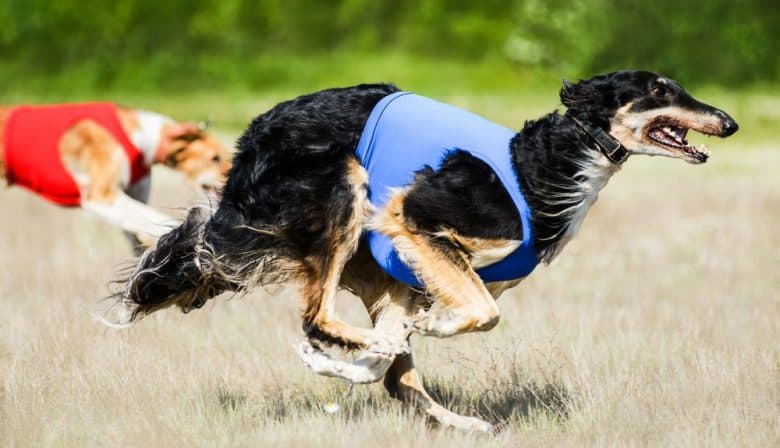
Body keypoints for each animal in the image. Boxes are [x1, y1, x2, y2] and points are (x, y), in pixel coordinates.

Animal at [109, 70, 736, 430]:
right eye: (658, 90)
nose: (728, 122)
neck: (545, 165)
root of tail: (252, 135)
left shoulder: (413, 269)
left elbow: (396, 359)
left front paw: (358, 359)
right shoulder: (412, 220)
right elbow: (483, 313)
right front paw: (424, 331)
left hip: (372, 261)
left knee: (388, 374)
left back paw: (460, 422)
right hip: (345, 195)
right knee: (319, 317)